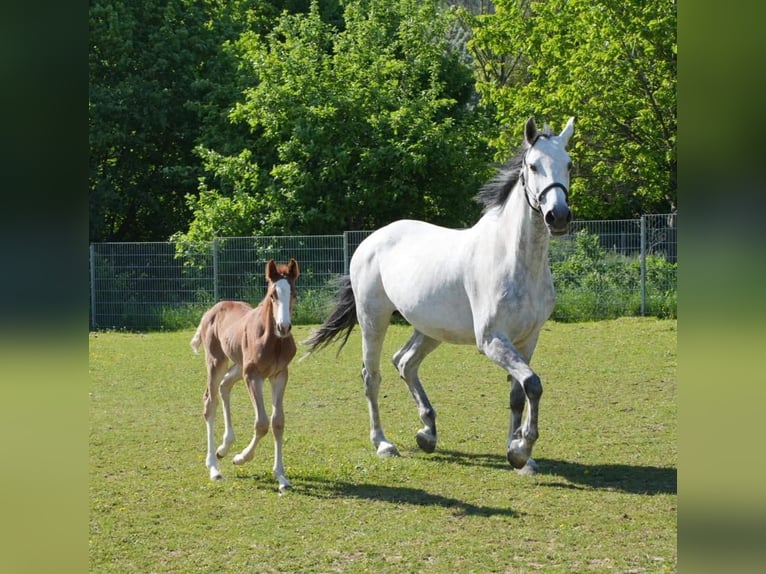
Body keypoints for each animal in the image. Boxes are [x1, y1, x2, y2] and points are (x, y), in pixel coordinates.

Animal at [190, 259, 300, 491]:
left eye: (294, 293)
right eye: (273, 295)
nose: (284, 327)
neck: (273, 340)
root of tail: (211, 310)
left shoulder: (279, 375)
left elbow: (278, 421)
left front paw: (282, 478)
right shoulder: (253, 376)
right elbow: (262, 422)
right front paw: (240, 458)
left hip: (238, 366)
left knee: (224, 386)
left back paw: (223, 448)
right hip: (217, 362)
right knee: (210, 401)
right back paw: (214, 467)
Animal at [303, 117, 574, 474]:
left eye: (569, 165)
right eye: (533, 166)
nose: (558, 216)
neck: (514, 259)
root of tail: (371, 240)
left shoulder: (527, 340)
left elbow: (520, 392)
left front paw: (519, 455)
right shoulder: (491, 340)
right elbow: (532, 384)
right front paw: (521, 448)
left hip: (430, 329)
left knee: (404, 362)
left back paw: (427, 433)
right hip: (373, 320)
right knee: (372, 377)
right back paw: (383, 443)